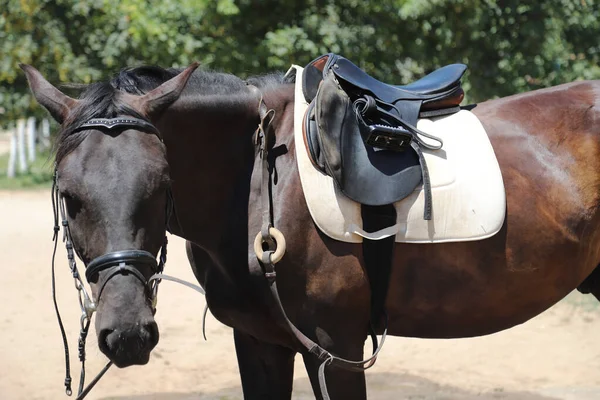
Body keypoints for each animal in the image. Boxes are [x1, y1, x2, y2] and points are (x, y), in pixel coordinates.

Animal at [21, 60, 600, 400]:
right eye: (69, 198)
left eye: (163, 187)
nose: (129, 334)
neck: (256, 181)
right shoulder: (258, 341)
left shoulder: (335, 348)